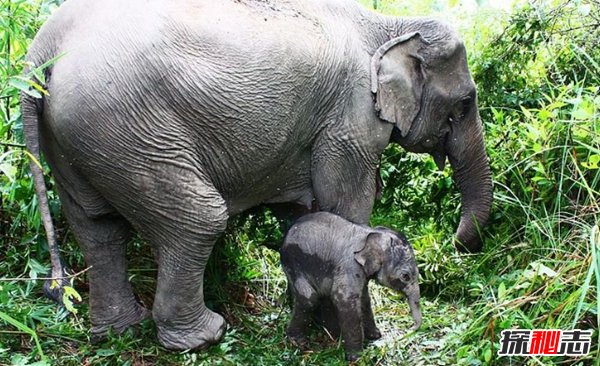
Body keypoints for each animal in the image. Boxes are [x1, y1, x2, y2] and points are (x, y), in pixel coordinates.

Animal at [282, 212, 422, 360]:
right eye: (405, 276)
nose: (410, 329)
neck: (372, 233)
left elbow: (364, 299)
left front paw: (375, 336)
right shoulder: (349, 265)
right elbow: (344, 300)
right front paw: (357, 358)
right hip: (294, 262)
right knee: (309, 299)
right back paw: (299, 343)